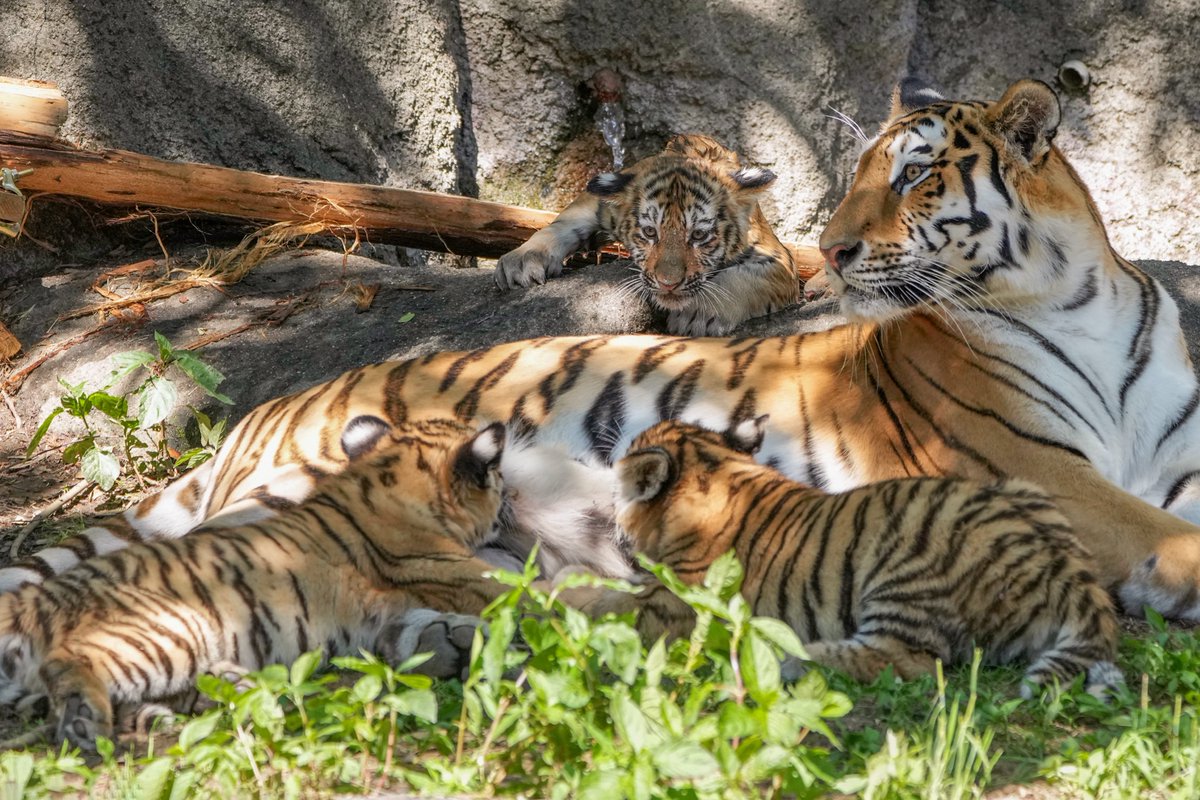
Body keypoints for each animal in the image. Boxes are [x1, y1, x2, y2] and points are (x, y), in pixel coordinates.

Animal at [494, 136, 816, 335]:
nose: (668, 284)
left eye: (699, 235)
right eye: (650, 232)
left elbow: (741, 280)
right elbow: (561, 224)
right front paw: (522, 261)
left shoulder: (778, 259)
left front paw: (698, 313)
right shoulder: (598, 204)